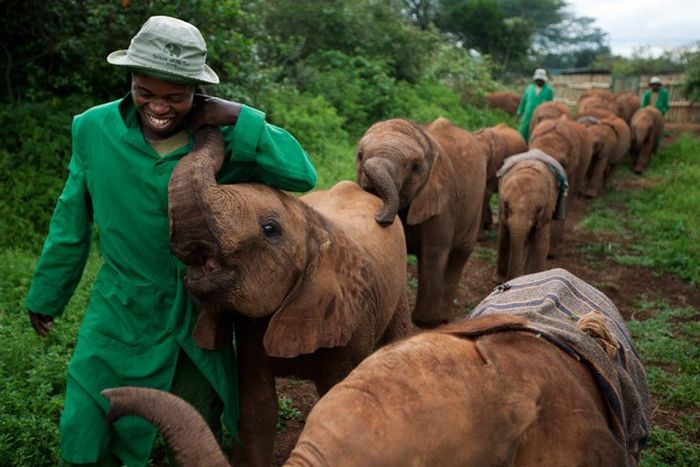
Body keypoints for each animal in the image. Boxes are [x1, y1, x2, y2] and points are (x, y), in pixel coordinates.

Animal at [356, 118, 486, 330]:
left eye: (415, 168)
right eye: (359, 156)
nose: (380, 216)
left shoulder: (442, 202)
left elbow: (433, 253)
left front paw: (424, 322)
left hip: (475, 206)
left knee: (459, 256)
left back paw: (443, 319)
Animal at [490, 150, 568, 282]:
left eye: (539, 209)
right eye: (506, 204)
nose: (509, 281)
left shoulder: (546, 211)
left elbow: (541, 244)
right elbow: (504, 237)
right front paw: (498, 281)